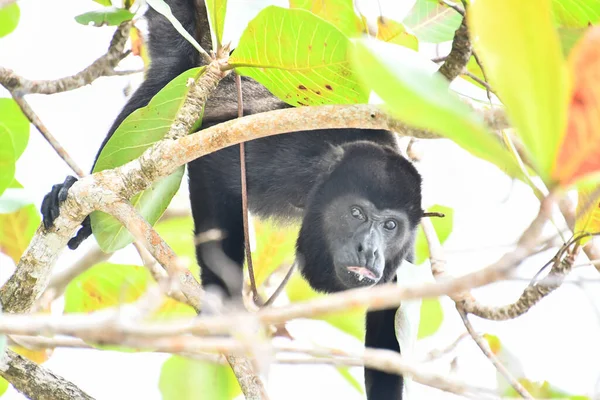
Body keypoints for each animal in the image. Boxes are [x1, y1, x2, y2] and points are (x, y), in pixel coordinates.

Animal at [41, 1, 422, 398]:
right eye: (356, 213)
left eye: (390, 225)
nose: (370, 250)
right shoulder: (294, 155)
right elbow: (218, 167)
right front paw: (223, 306)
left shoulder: (406, 252)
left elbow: (388, 331)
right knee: (162, 82)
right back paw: (78, 193)